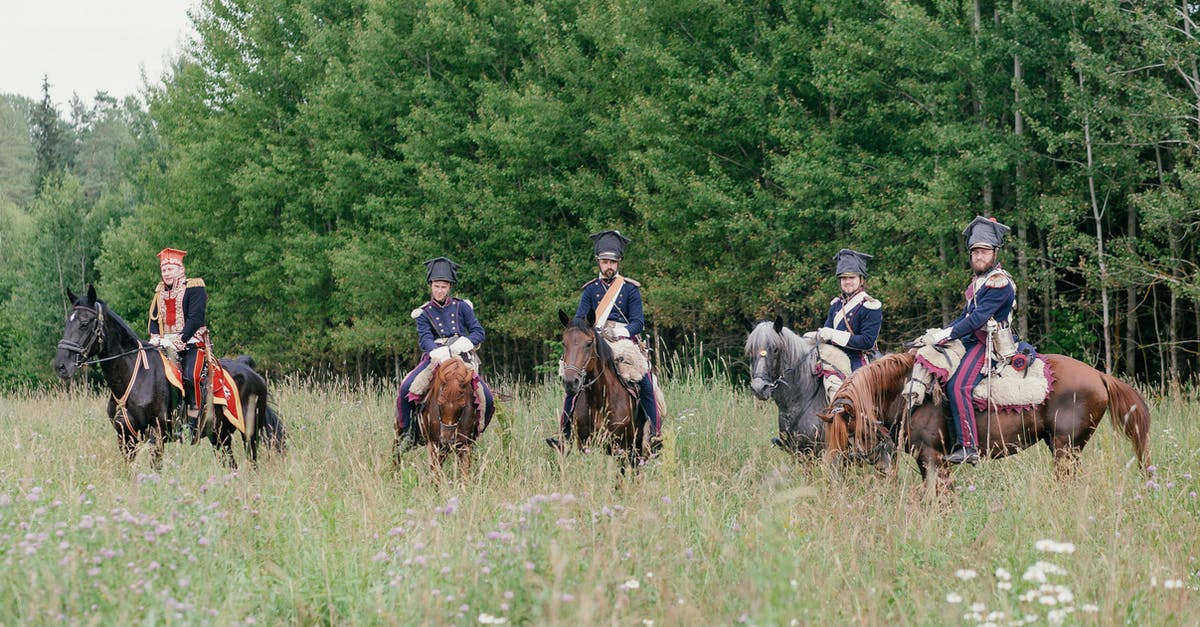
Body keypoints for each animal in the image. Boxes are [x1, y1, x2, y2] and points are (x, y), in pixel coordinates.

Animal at [53, 283, 285, 468]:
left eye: (85, 323)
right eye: (67, 322)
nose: (61, 365)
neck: (135, 376)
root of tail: (250, 370)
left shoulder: (156, 435)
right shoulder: (125, 438)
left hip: (249, 433)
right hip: (220, 435)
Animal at [559, 307, 648, 463]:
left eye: (589, 343)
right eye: (564, 343)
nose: (570, 382)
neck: (599, 400)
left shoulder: (619, 447)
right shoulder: (584, 445)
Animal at [820, 348, 1147, 480]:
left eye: (851, 429)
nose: (881, 467)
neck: (907, 392)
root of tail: (1099, 375)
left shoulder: (934, 458)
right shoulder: (926, 461)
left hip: (1065, 449)